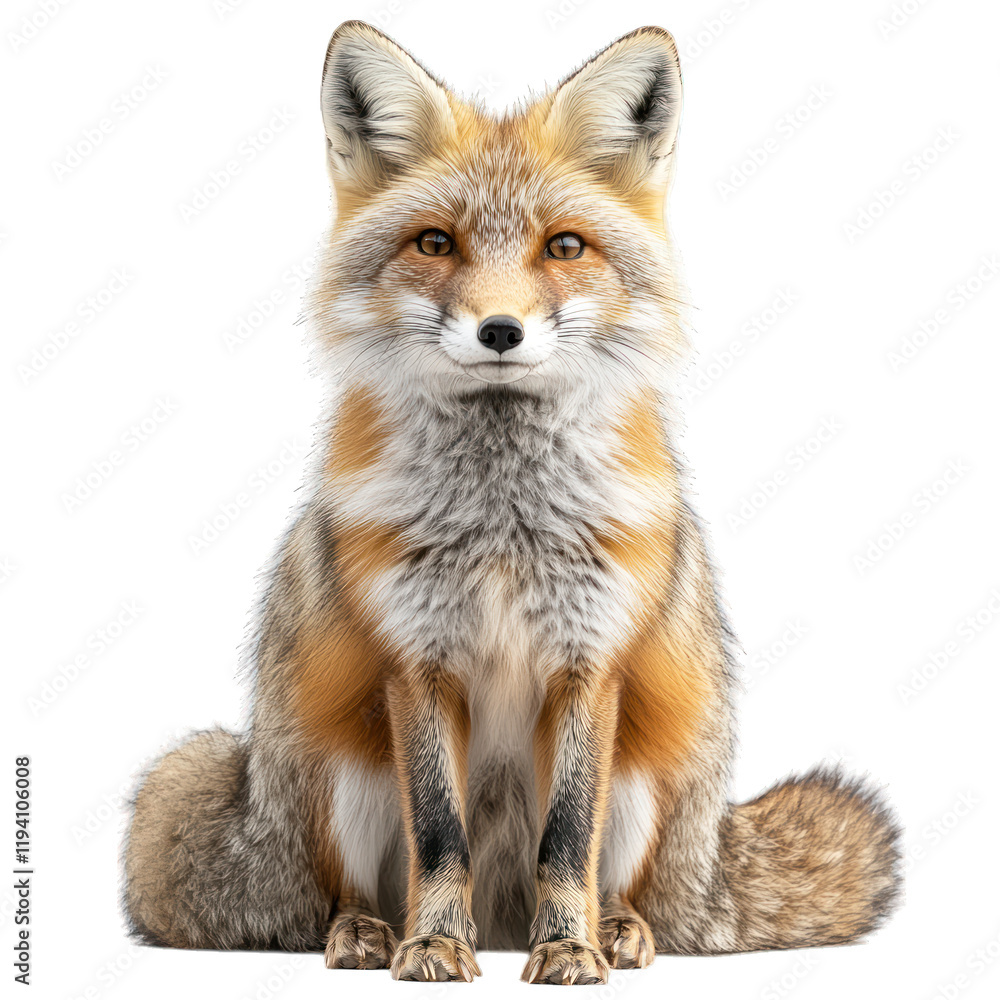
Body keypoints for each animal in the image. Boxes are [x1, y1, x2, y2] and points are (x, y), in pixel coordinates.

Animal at [121, 21, 902, 985]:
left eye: (563, 248)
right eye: (435, 243)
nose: (500, 330)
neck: (503, 527)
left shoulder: (590, 663)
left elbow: (565, 840)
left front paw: (567, 947)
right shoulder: (416, 660)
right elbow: (440, 836)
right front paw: (431, 944)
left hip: (641, 787)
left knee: (618, 882)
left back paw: (617, 931)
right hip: (342, 779)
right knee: (345, 890)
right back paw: (369, 933)